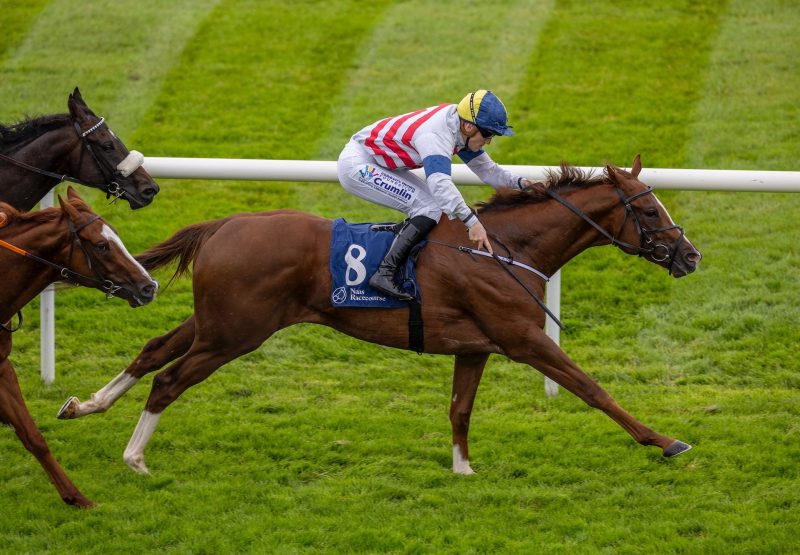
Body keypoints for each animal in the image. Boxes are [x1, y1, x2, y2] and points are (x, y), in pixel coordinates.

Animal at [61, 156, 700, 478]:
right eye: (648, 210)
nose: (690, 255)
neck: (504, 250)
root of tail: (223, 224)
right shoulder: (522, 338)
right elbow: (592, 388)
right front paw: (665, 441)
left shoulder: (475, 346)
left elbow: (460, 408)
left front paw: (463, 470)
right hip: (235, 333)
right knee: (169, 379)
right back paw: (135, 457)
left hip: (218, 322)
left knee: (154, 349)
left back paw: (85, 405)